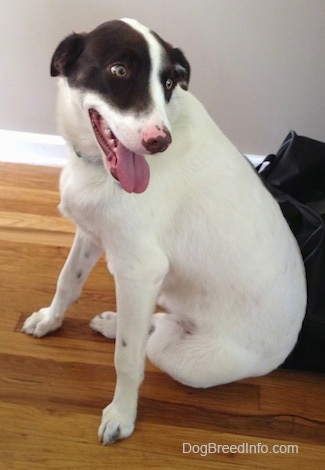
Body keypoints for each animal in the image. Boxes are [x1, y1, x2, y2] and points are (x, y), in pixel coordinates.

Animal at [21, 18, 306, 444]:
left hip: (188, 360)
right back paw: (113, 323)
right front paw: (50, 320)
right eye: (119, 70)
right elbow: (67, 281)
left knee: (154, 340)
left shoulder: (140, 271)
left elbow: (127, 359)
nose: (160, 142)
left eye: (169, 82)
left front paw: (121, 415)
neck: (95, 167)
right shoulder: (91, 232)